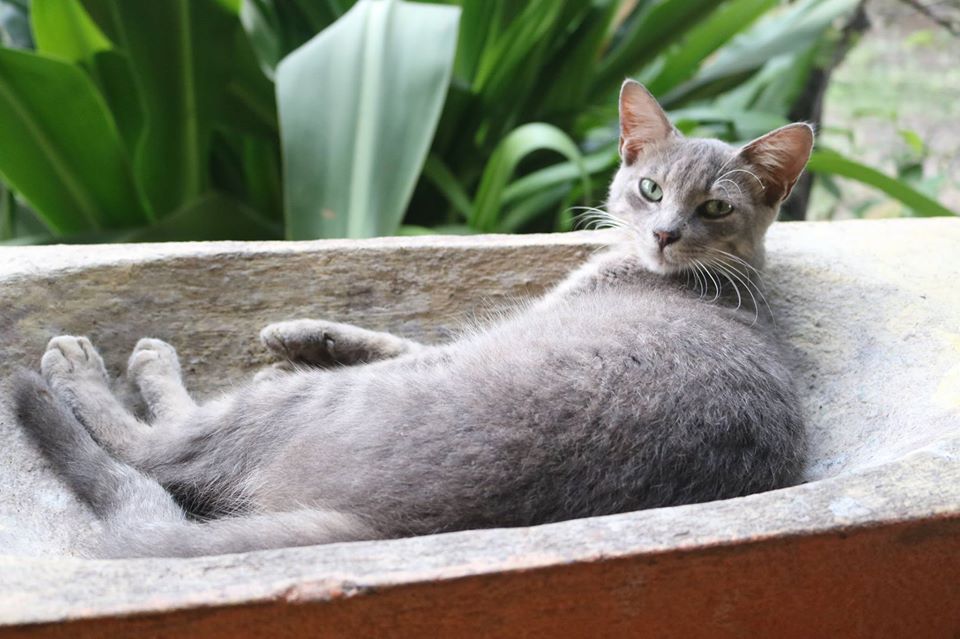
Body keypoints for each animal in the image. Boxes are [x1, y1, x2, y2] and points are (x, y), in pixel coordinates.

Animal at [10, 80, 811, 558]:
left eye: (715, 206)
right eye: (649, 188)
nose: (665, 233)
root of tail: (393, 529)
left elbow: (404, 342)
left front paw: (297, 342)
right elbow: (392, 336)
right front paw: (302, 333)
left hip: (292, 410)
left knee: (158, 448)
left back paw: (100, 363)